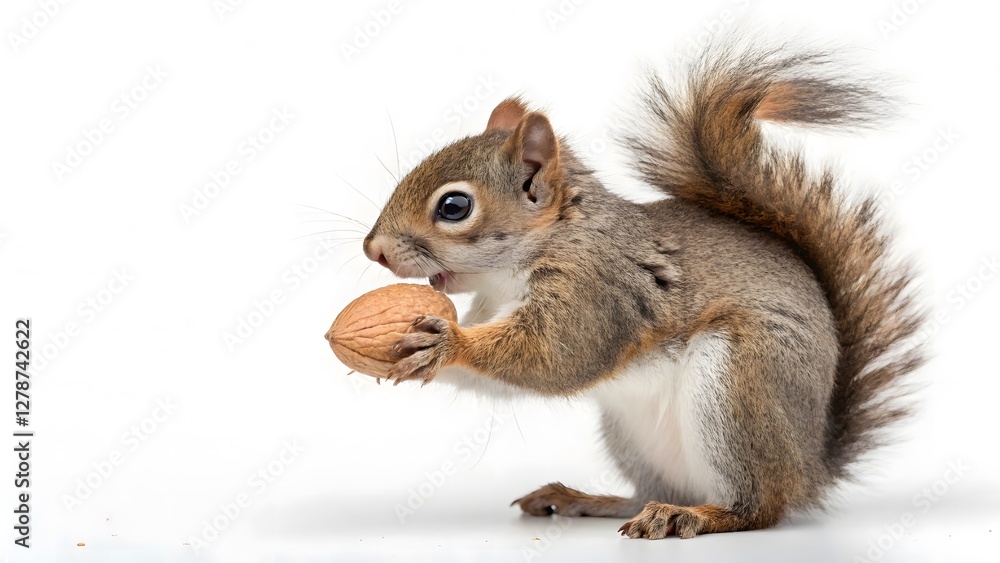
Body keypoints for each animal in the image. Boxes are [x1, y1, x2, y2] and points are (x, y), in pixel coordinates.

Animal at [359, 38, 925, 539]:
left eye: (454, 207)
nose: (374, 250)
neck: (536, 251)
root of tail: (811, 467)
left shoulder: (598, 286)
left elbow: (555, 355)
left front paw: (445, 343)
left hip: (741, 382)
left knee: (760, 507)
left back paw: (695, 516)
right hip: (632, 434)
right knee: (647, 494)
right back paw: (591, 500)